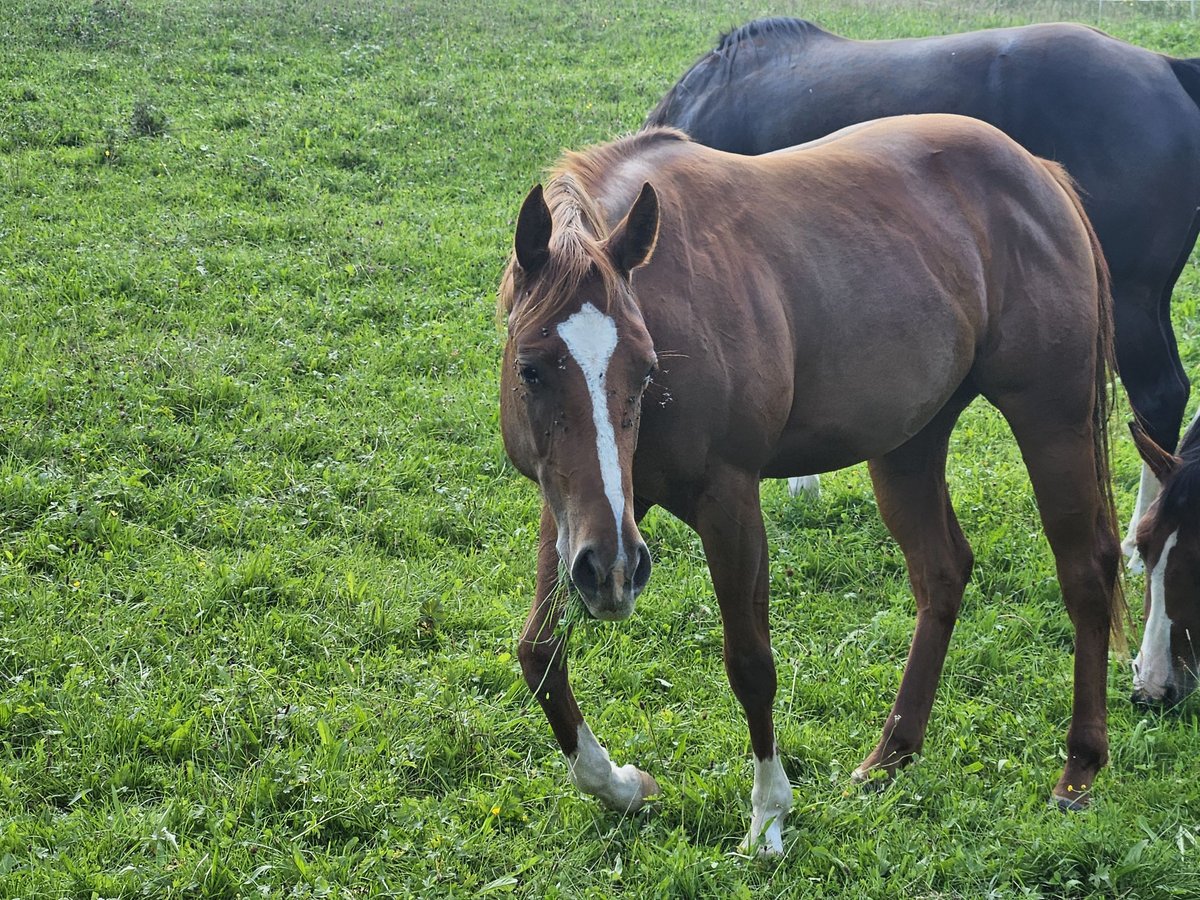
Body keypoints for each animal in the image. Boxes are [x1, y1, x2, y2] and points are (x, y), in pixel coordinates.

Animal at [498, 116, 1124, 854]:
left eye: (646, 368)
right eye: (532, 369)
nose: (616, 575)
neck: (673, 294)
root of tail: (1038, 171)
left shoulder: (726, 502)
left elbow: (750, 663)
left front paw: (769, 815)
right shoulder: (584, 511)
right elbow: (539, 652)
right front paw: (623, 785)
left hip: (1052, 421)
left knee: (1086, 573)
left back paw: (1079, 769)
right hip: (908, 445)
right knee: (942, 573)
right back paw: (892, 753)